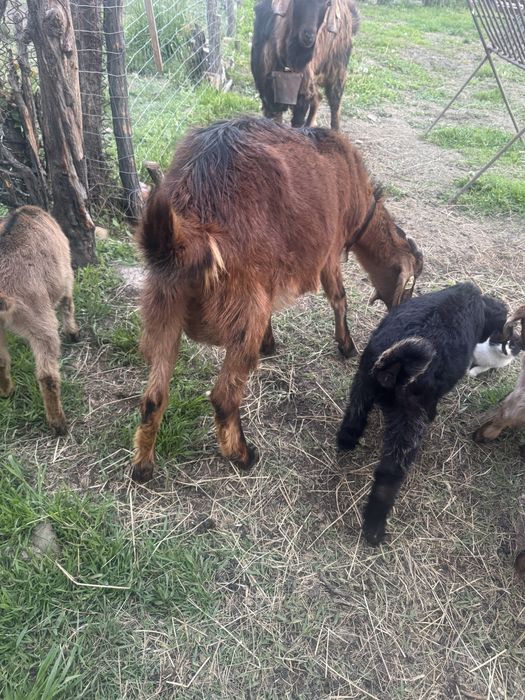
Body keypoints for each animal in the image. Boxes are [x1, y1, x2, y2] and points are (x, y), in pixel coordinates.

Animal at [0, 206, 79, 434]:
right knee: (47, 375)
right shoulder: (66, 275)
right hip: (41, 319)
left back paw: (7, 392)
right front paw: (74, 333)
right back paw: (58, 423)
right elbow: (68, 303)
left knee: (1, 360)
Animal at [131, 117, 423, 482]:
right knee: (224, 397)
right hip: (242, 308)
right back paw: (243, 455)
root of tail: (189, 232)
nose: (403, 311)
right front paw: (346, 346)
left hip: (164, 306)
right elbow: (339, 298)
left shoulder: (267, 279)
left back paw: (142, 466)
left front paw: (270, 343)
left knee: (153, 397)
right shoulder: (328, 253)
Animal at [251, 0, 359, 130]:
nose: (309, 37)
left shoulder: (302, 96)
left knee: (335, 104)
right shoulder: (268, 97)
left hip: (338, 69)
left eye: (328, 3)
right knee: (318, 97)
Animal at [337, 282, 508, 546]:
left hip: (362, 384)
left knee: (353, 417)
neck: (469, 298)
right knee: (388, 475)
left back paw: (346, 441)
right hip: (407, 427)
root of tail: (393, 369)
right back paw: (374, 528)